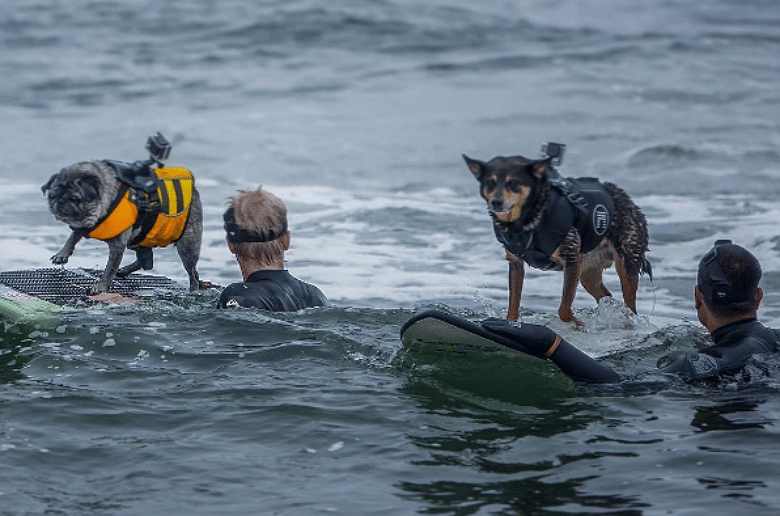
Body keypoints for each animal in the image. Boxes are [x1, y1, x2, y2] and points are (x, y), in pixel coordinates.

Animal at [464, 151, 652, 324]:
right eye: (490, 183)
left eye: (514, 183)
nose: (496, 202)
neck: (527, 219)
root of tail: (630, 202)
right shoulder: (516, 263)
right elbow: (513, 306)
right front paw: (511, 322)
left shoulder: (571, 259)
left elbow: (563, 309)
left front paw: (576, 323)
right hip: (587, 273)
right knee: (606, 297)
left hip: (626, 262)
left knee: (630, 305)